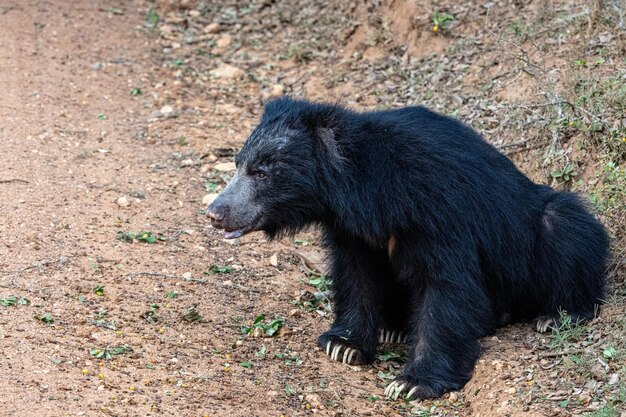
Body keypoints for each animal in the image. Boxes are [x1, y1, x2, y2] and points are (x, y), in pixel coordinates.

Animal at [207, 96, 608, 400]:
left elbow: (446, 288)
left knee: (567, 231)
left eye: (261, 172)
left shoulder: (438, 213)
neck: (369, 195)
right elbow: (357, 276)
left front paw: (412, 383)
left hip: (540, 229)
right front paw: (343, 345)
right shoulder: (355, 232)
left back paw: (556, 315)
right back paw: (394, 328)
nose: (214, 212)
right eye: (238, 164)